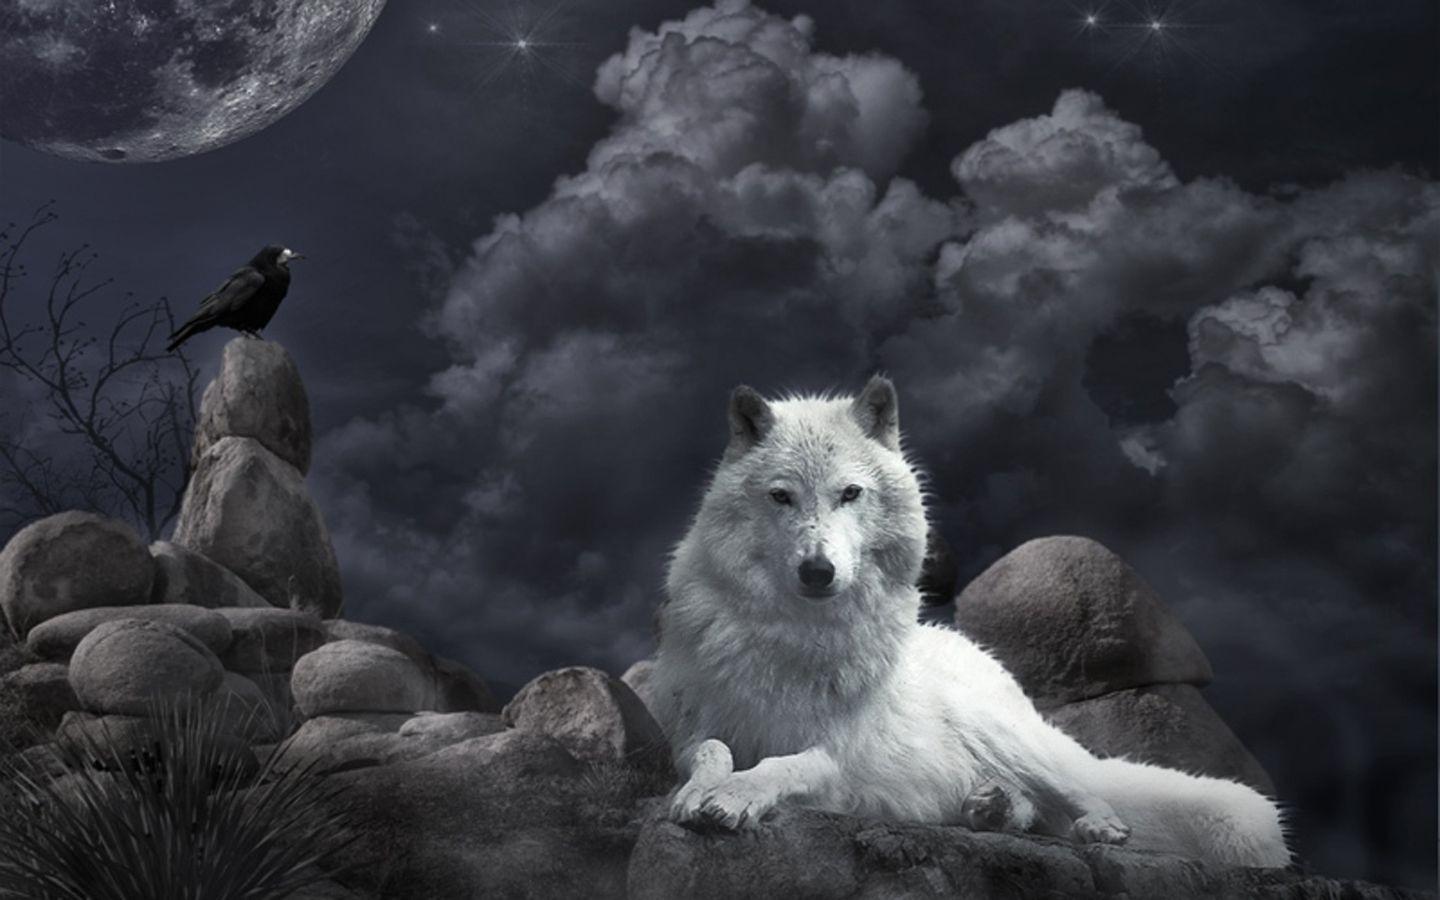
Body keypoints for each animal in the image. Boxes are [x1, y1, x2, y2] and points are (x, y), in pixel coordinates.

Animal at [648, 376, 1289, 868]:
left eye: (850, 493)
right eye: (781, 496)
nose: (818, 571)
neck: (795, 636)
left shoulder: (836, 758)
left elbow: (781, 764)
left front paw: (736, 796)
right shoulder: (693, 729)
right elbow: (711, 751)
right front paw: (700, 793)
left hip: (1004, 733)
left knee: (1077, 792)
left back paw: (1094, 825)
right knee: (1034, 811)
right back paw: (990, 808)